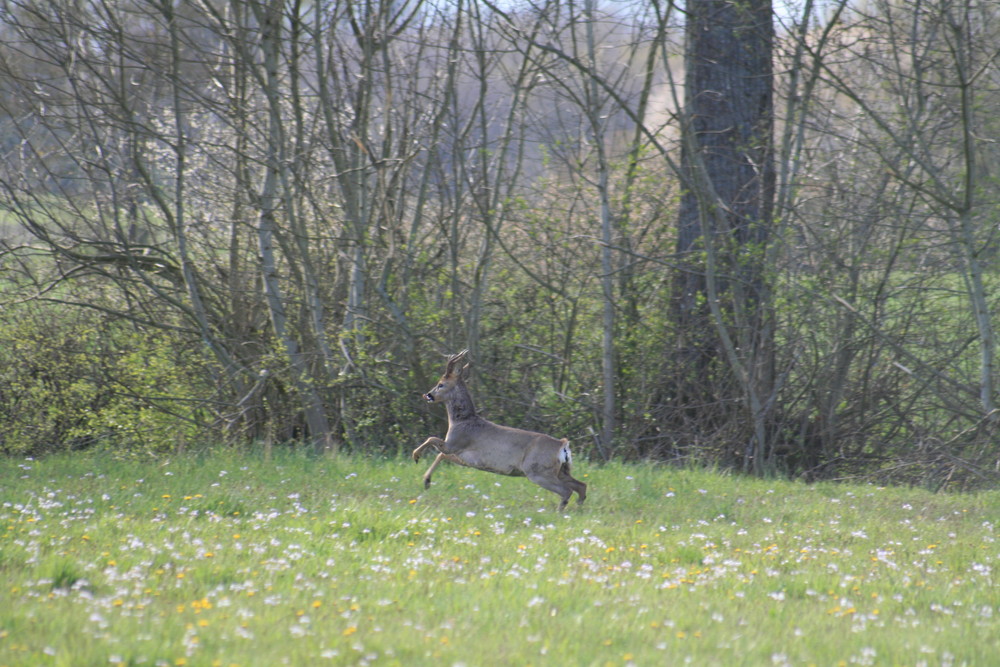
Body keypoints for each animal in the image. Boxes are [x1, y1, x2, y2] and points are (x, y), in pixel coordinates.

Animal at [412, 350, 584, 512]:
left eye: (441, 384)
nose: (428, 395)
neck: (462, 421)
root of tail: (563, 445)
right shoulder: (465, 457)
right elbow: (440, 455)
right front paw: (426, 481)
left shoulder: (455, 443)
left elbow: (432, 440)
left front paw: (416, 458)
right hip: (560, 470)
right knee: (581, 486)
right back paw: (577, 508)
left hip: (537, 471)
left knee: (567, 490)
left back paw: (559, 512)